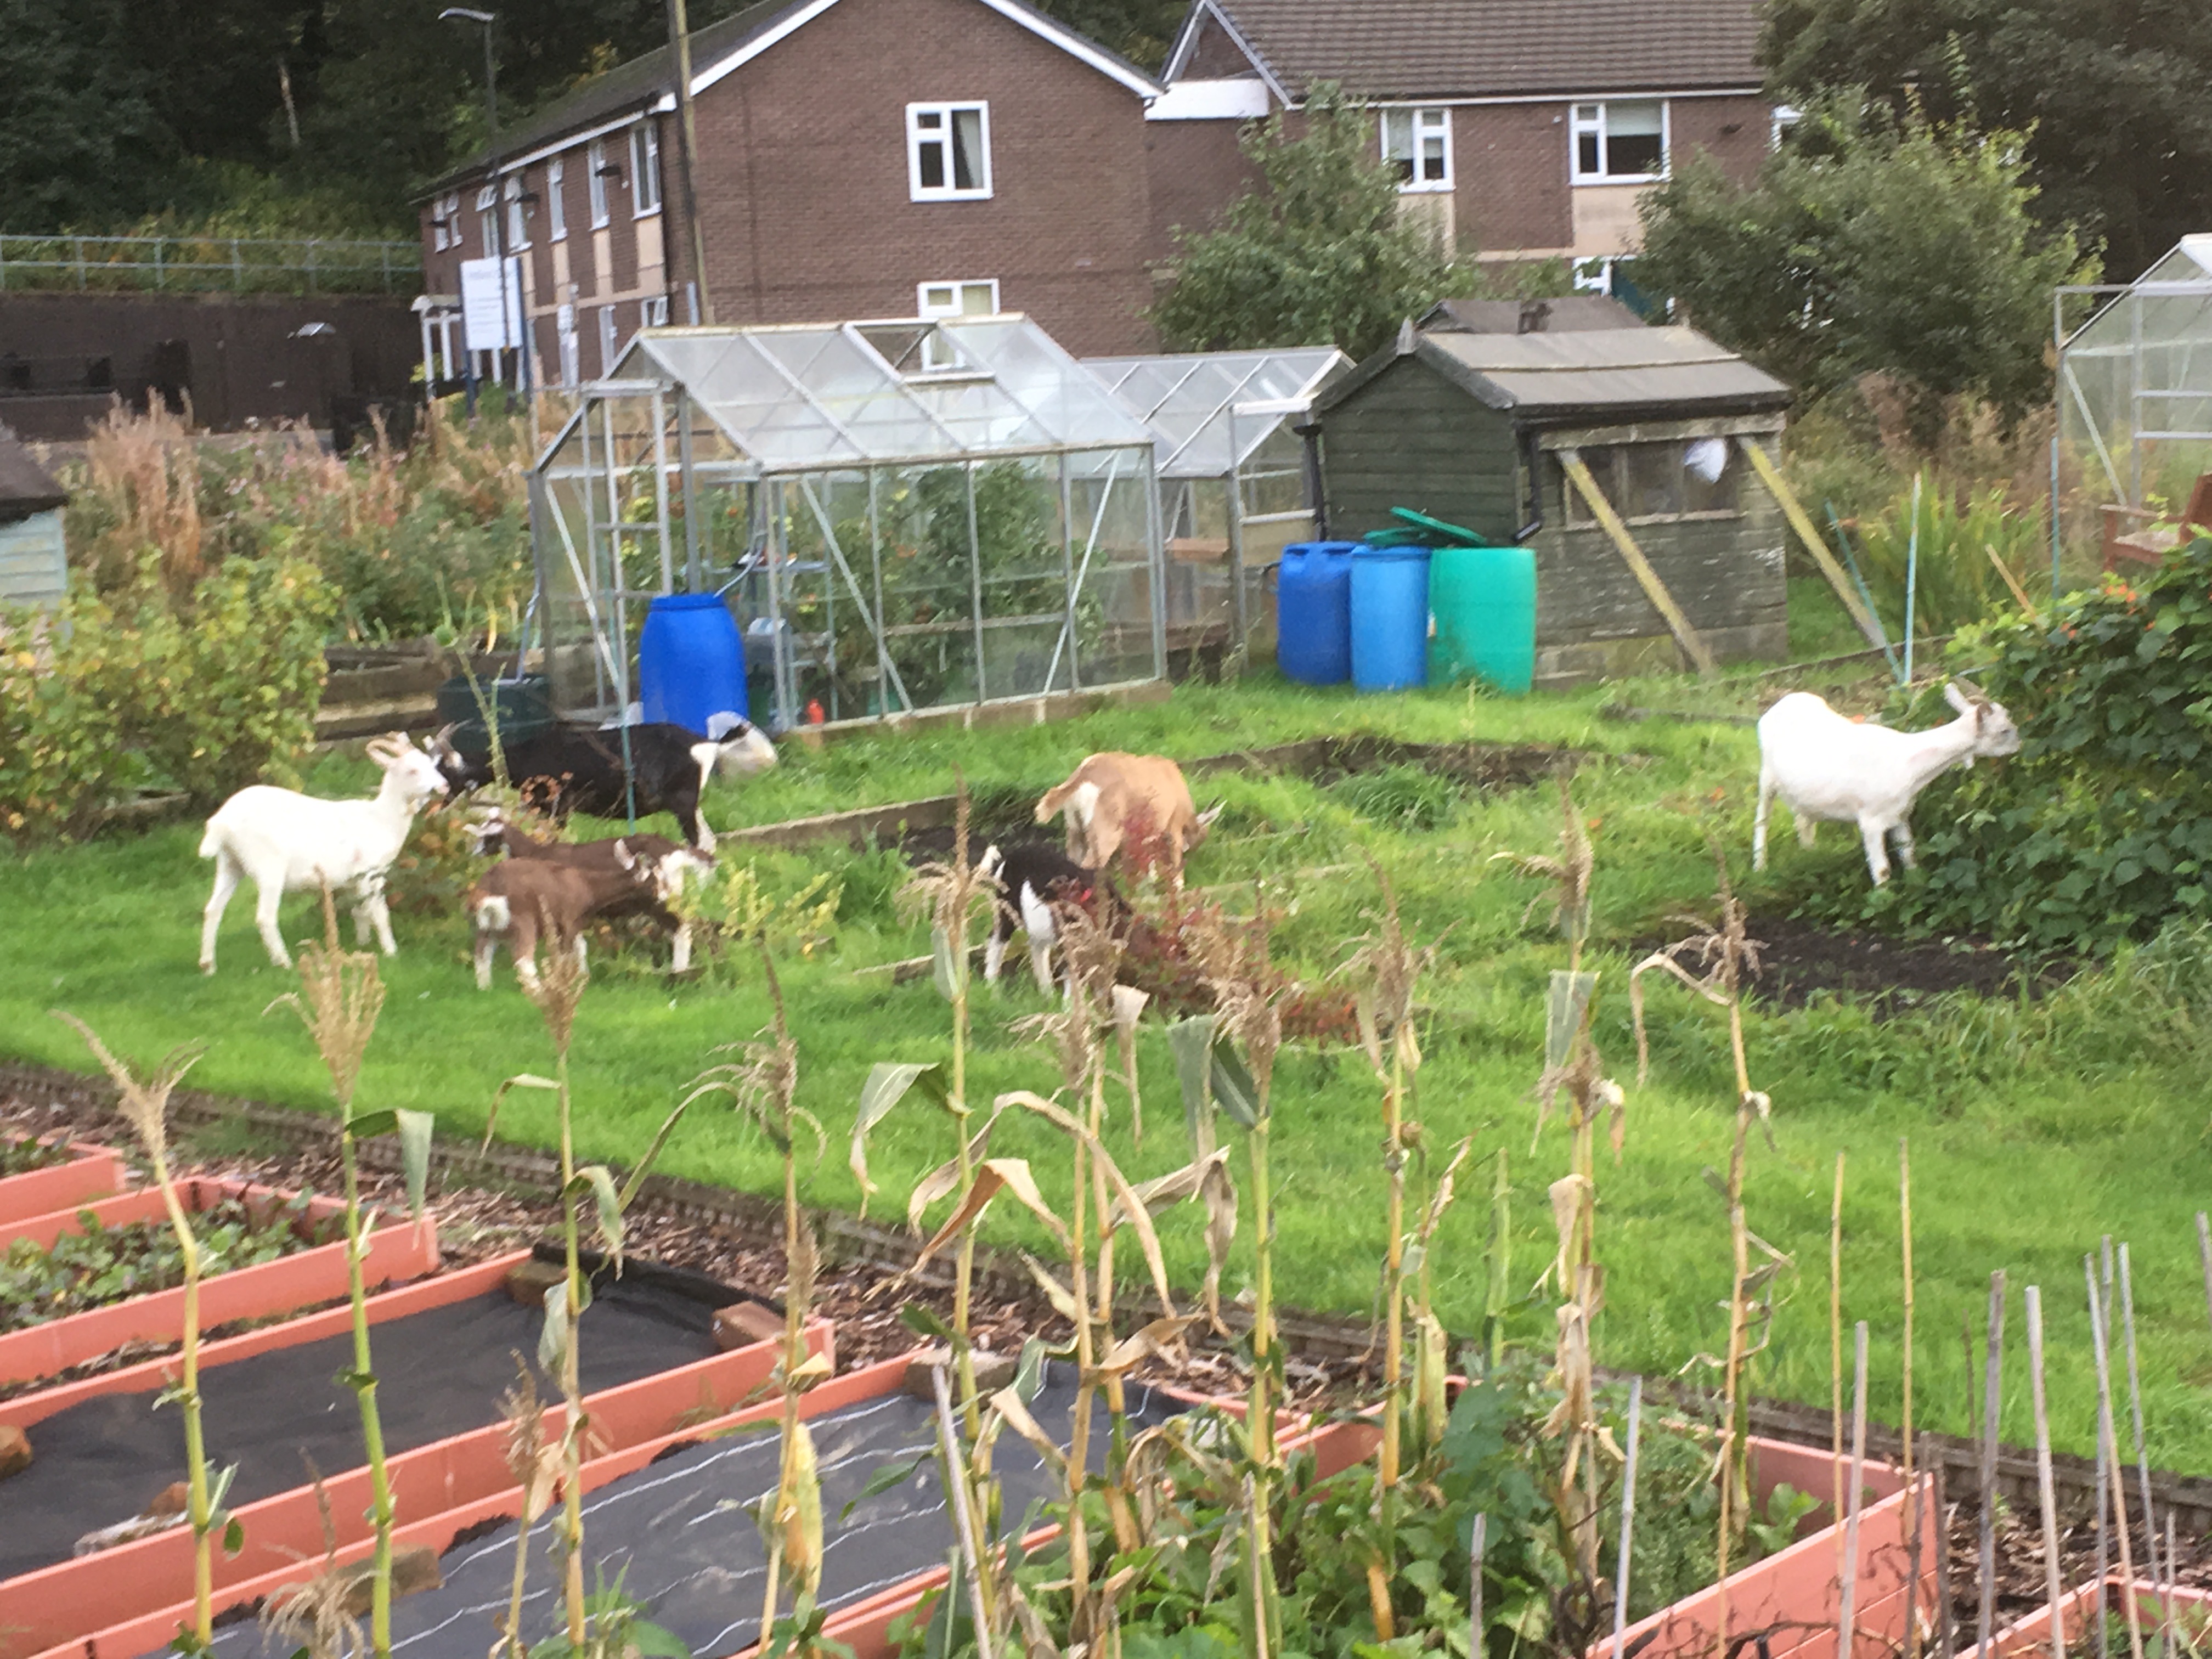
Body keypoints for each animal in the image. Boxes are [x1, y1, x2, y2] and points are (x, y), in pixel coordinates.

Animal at [197, 733, 449, 973]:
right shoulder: (371, 873)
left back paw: (208, 966)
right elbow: (379, 913)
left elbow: (360, 911)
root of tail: (220, 822)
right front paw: (391, 952)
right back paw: (284, 963)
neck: (381, 819)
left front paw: (363, 944)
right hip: (268, 866)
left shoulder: (353, 880)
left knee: (213, 909)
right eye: (412, 770)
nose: (444, 787)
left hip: (230, 863)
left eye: (431, 765)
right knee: (264, 917)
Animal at [429, 718, 777, 853]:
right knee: (710, 841)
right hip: (691, 803)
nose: (434, 806)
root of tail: (708, 743)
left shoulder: (559, 807)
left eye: (445, 772)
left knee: (700, 842)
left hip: (683, 803)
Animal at [469, 807, 710, 974]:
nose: (474, 853)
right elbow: (580, 946)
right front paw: (582, 974)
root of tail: (674, 851)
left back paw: (679, 970)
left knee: (682, 928)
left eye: (487, 837)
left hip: (658, 899)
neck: (536, 852)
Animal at [977, 842, 1105, 994]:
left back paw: (1047, 993)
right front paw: (1069, 1001)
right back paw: (992, 986)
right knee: (997, 939)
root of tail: (1006, 860)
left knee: (1037, 950)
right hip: (1007, 908)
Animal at [1753, 680, 2022, 886]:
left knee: (1803, 821)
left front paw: (1916, 884)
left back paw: (1810, 854)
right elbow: (1882, 869)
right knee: (1762, 818)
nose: (2020, 745)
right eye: (2004, 730)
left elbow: (1910, 854)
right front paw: (1884, 900)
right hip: (1766, 774)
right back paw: (1760, 867)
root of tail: (1781, 704)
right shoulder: (1870, 820)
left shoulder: (1901, 815)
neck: (1906, 763)